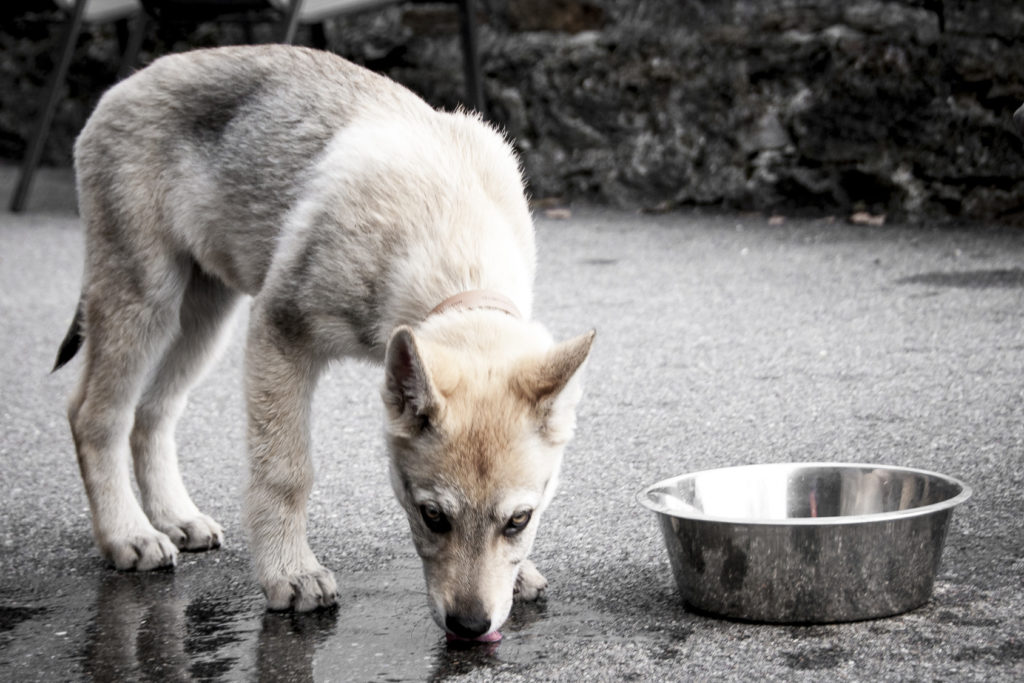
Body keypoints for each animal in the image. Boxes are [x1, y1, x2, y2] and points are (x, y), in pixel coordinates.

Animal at [56, 44, 598, 643]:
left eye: (518, 520)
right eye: (432, 516)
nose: (471, 627)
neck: (449, 229)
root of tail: (126, 83)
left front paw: (518, 575)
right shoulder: (280, 331)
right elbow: (286, 471)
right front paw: (290, 574)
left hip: (202, 319)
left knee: (153, 412)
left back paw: (174, 518)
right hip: (145, 301)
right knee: (95, 414)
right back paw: (127, 534)